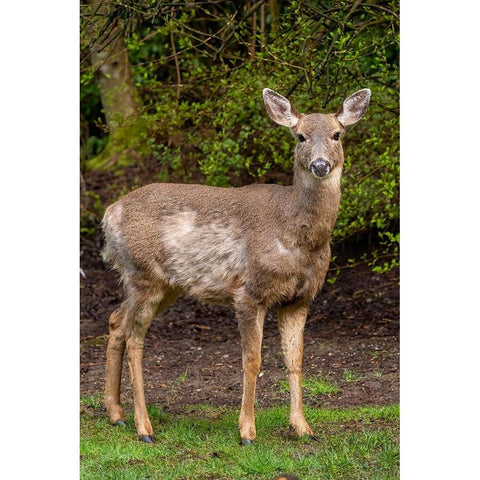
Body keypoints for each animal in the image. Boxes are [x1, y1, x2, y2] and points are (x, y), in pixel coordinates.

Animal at [102, 86, 372, 442]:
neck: (298, 237)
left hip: (164, 285)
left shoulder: (300, 298)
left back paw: (116, 413)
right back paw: (143, 427)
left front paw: (302, 427)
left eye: (337, 134)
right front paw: (247, 431)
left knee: (116, 321)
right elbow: (252, 359)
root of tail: (108, 216)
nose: (319, 164)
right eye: (299, 136)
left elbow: (296, 359)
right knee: (134, 337)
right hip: (142, 274)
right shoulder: (248, 291)